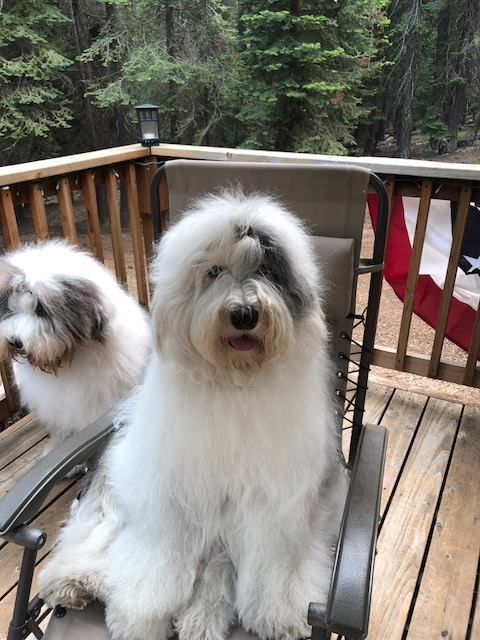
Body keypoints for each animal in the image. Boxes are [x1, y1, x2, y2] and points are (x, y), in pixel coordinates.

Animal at [40, 194, 348, 640]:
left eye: (266, 270)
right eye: (214, 271)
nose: (244, 314)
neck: (235, 381)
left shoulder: (275, 501)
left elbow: (272, 560)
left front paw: (277, 613)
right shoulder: (172, 492)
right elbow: (157, 556)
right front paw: (140, 615)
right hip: (122, 478)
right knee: (96, 526)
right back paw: (73, 582)